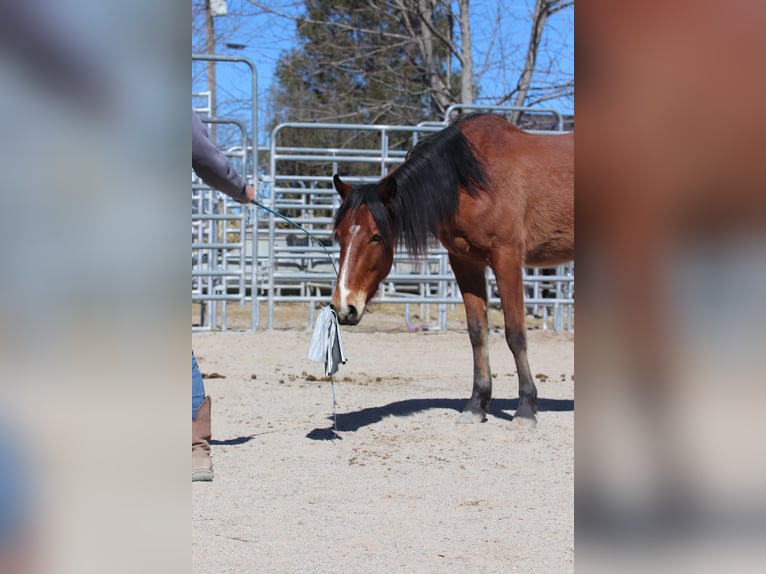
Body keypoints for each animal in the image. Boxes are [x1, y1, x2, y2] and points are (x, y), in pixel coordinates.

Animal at [332, 113, 572, 428]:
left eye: (376, 236)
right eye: (339, 235)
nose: (343, 308)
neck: (470, 179)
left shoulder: (507, 258)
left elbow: (515, 333)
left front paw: (526, 408)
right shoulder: (465, 261)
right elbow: (477, 332)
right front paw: (477, 405)